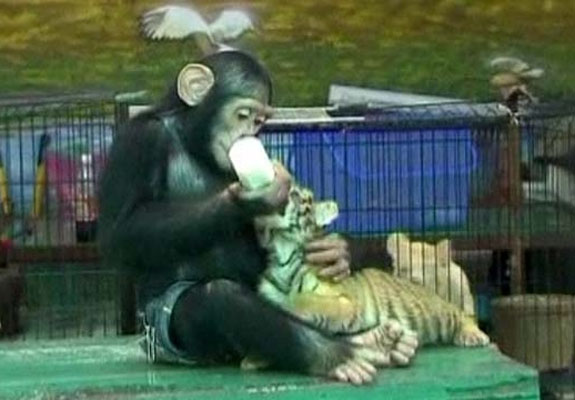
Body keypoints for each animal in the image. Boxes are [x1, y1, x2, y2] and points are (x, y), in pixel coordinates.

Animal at [254, 184, 490, 351]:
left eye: (297, 195)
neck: (283, 256)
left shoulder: (344, 301)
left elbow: (307, 301)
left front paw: (291, 306)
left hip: (436, 308)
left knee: (460, 314)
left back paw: (474, 335)